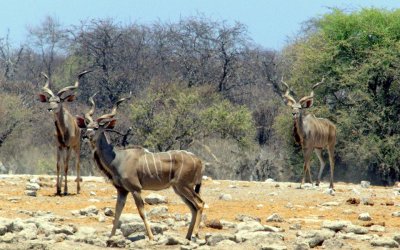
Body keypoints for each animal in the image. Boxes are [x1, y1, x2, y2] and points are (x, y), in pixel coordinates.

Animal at [76, 94, 205, 239]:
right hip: (179, 188)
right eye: (86, 126)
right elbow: (117, 213)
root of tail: (199, 161)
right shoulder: (122, 190)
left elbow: (142, 213)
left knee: (200, 203)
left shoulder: (135, 189)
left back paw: (196, 233)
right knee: (193, 207)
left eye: (97, 127)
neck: (117, 158)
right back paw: (188, 236)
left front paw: (151, 237)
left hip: (184, 185)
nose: (85, 136)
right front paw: (111, 237)